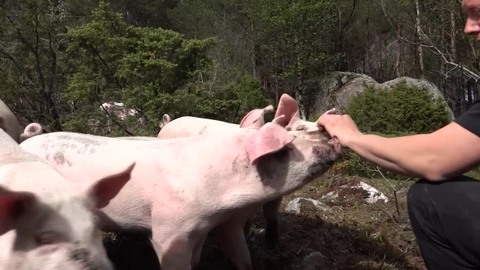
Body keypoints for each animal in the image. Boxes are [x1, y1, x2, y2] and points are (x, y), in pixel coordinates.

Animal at [19, 110, 342, 270]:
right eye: (286, 149)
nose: (334, 140)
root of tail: (24, 142)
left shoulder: (210, 225)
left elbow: (229, 258)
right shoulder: (168, 228)